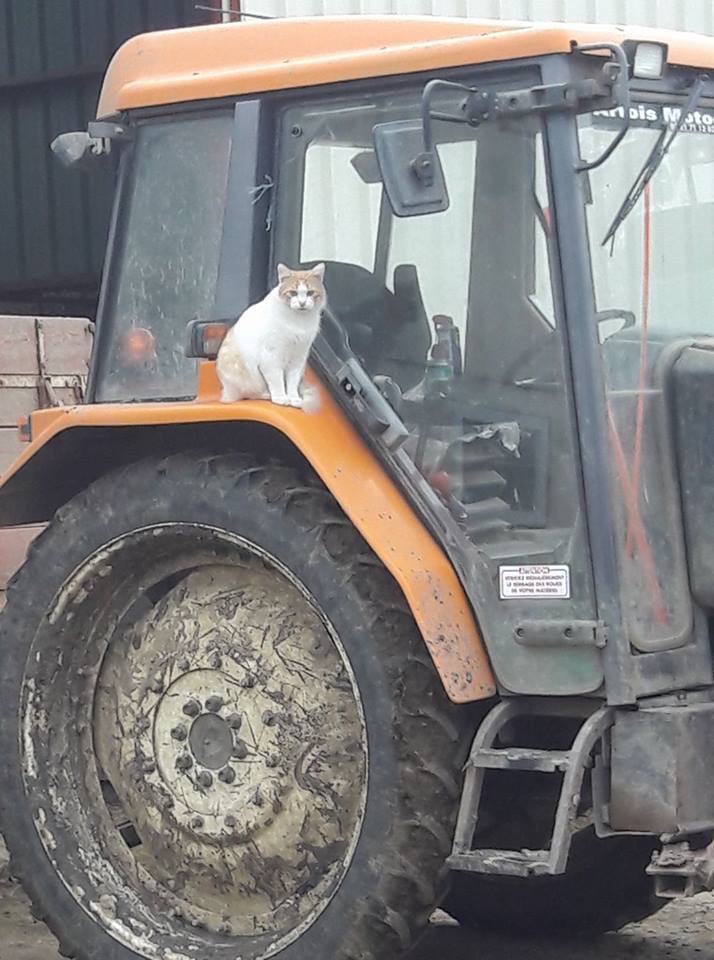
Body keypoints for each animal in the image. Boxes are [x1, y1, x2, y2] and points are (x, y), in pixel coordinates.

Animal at [214, 264, 326, 406]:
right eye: (293, 293)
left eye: (310, 293)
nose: (302, 303)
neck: (298, 320)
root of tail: (226, 392)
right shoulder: (271, 357)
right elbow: (277, 380)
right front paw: (280, 397)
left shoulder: (298, 359)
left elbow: (293, 382)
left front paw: (294, 398)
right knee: (250, 394)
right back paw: (266, 395)